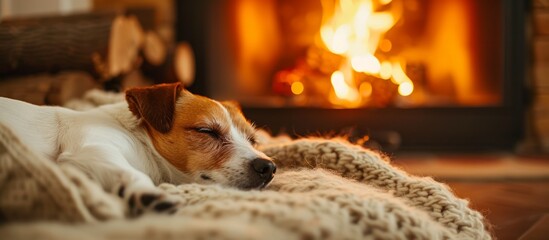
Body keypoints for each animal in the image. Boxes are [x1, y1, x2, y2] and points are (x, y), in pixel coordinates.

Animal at [0, 83, 274, 216]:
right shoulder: (93, 148)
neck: (142, 141)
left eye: (253, 139)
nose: (269, 167)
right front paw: (147, 194)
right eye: (206, 131)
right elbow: (132, 173)